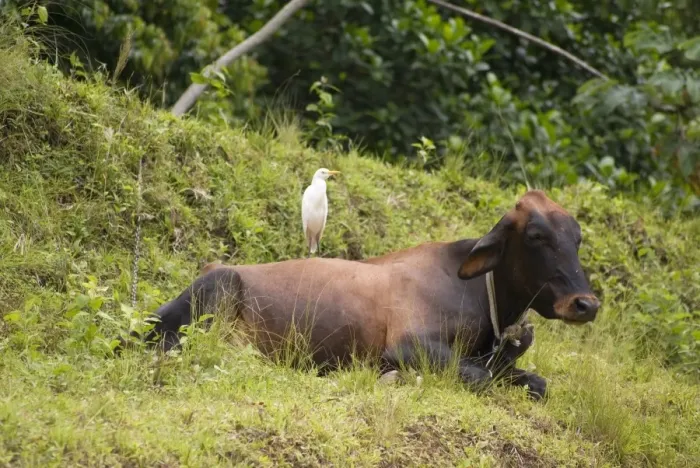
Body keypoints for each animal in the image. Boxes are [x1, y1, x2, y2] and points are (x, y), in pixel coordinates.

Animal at [117, 189, 600, 400]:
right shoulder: (408, 344)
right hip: (213, 300)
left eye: (577, 238)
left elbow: (534, 382)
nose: (586, 304)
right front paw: (393, 378)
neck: (479, 298)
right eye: (536, 235)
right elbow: (478, 376)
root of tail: (210, 267)